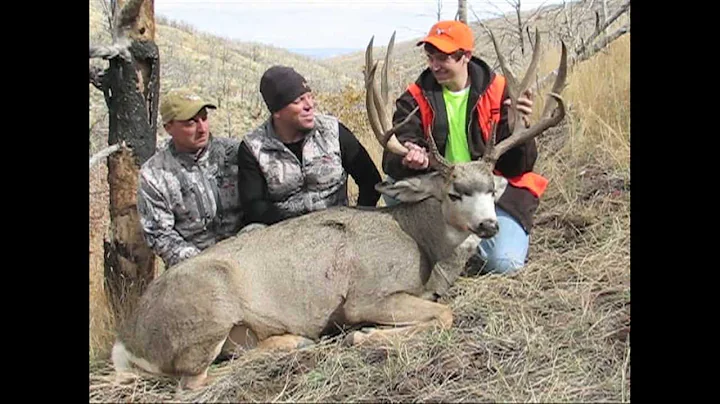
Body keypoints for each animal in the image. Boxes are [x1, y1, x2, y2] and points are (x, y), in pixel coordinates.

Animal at [109, 28, 568, 391]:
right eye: (454, 192)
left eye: (492, 189)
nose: (489, 225)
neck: (422, 242)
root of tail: (126, 340)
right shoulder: (366, 296)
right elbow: (444, 313)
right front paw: (362, 337)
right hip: (210, 308)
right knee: (193, 380)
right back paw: (297, 343)